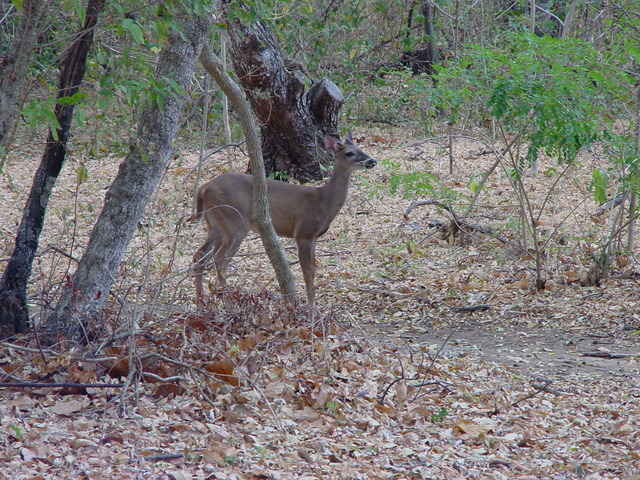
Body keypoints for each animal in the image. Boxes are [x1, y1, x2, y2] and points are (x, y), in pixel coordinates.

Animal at [190, 133, 377, 307]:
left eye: (361, 148)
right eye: (349, 153)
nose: (372, 161)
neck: (323, 202)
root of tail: (204, 188)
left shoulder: (313, 237)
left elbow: (313, 268)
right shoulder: (303, 232)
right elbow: (307, 272)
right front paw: (310, 308)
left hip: (215, 224)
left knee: (199, 255)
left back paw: (201, 301)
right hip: (234, 221)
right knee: (220, 259)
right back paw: (227, 301)